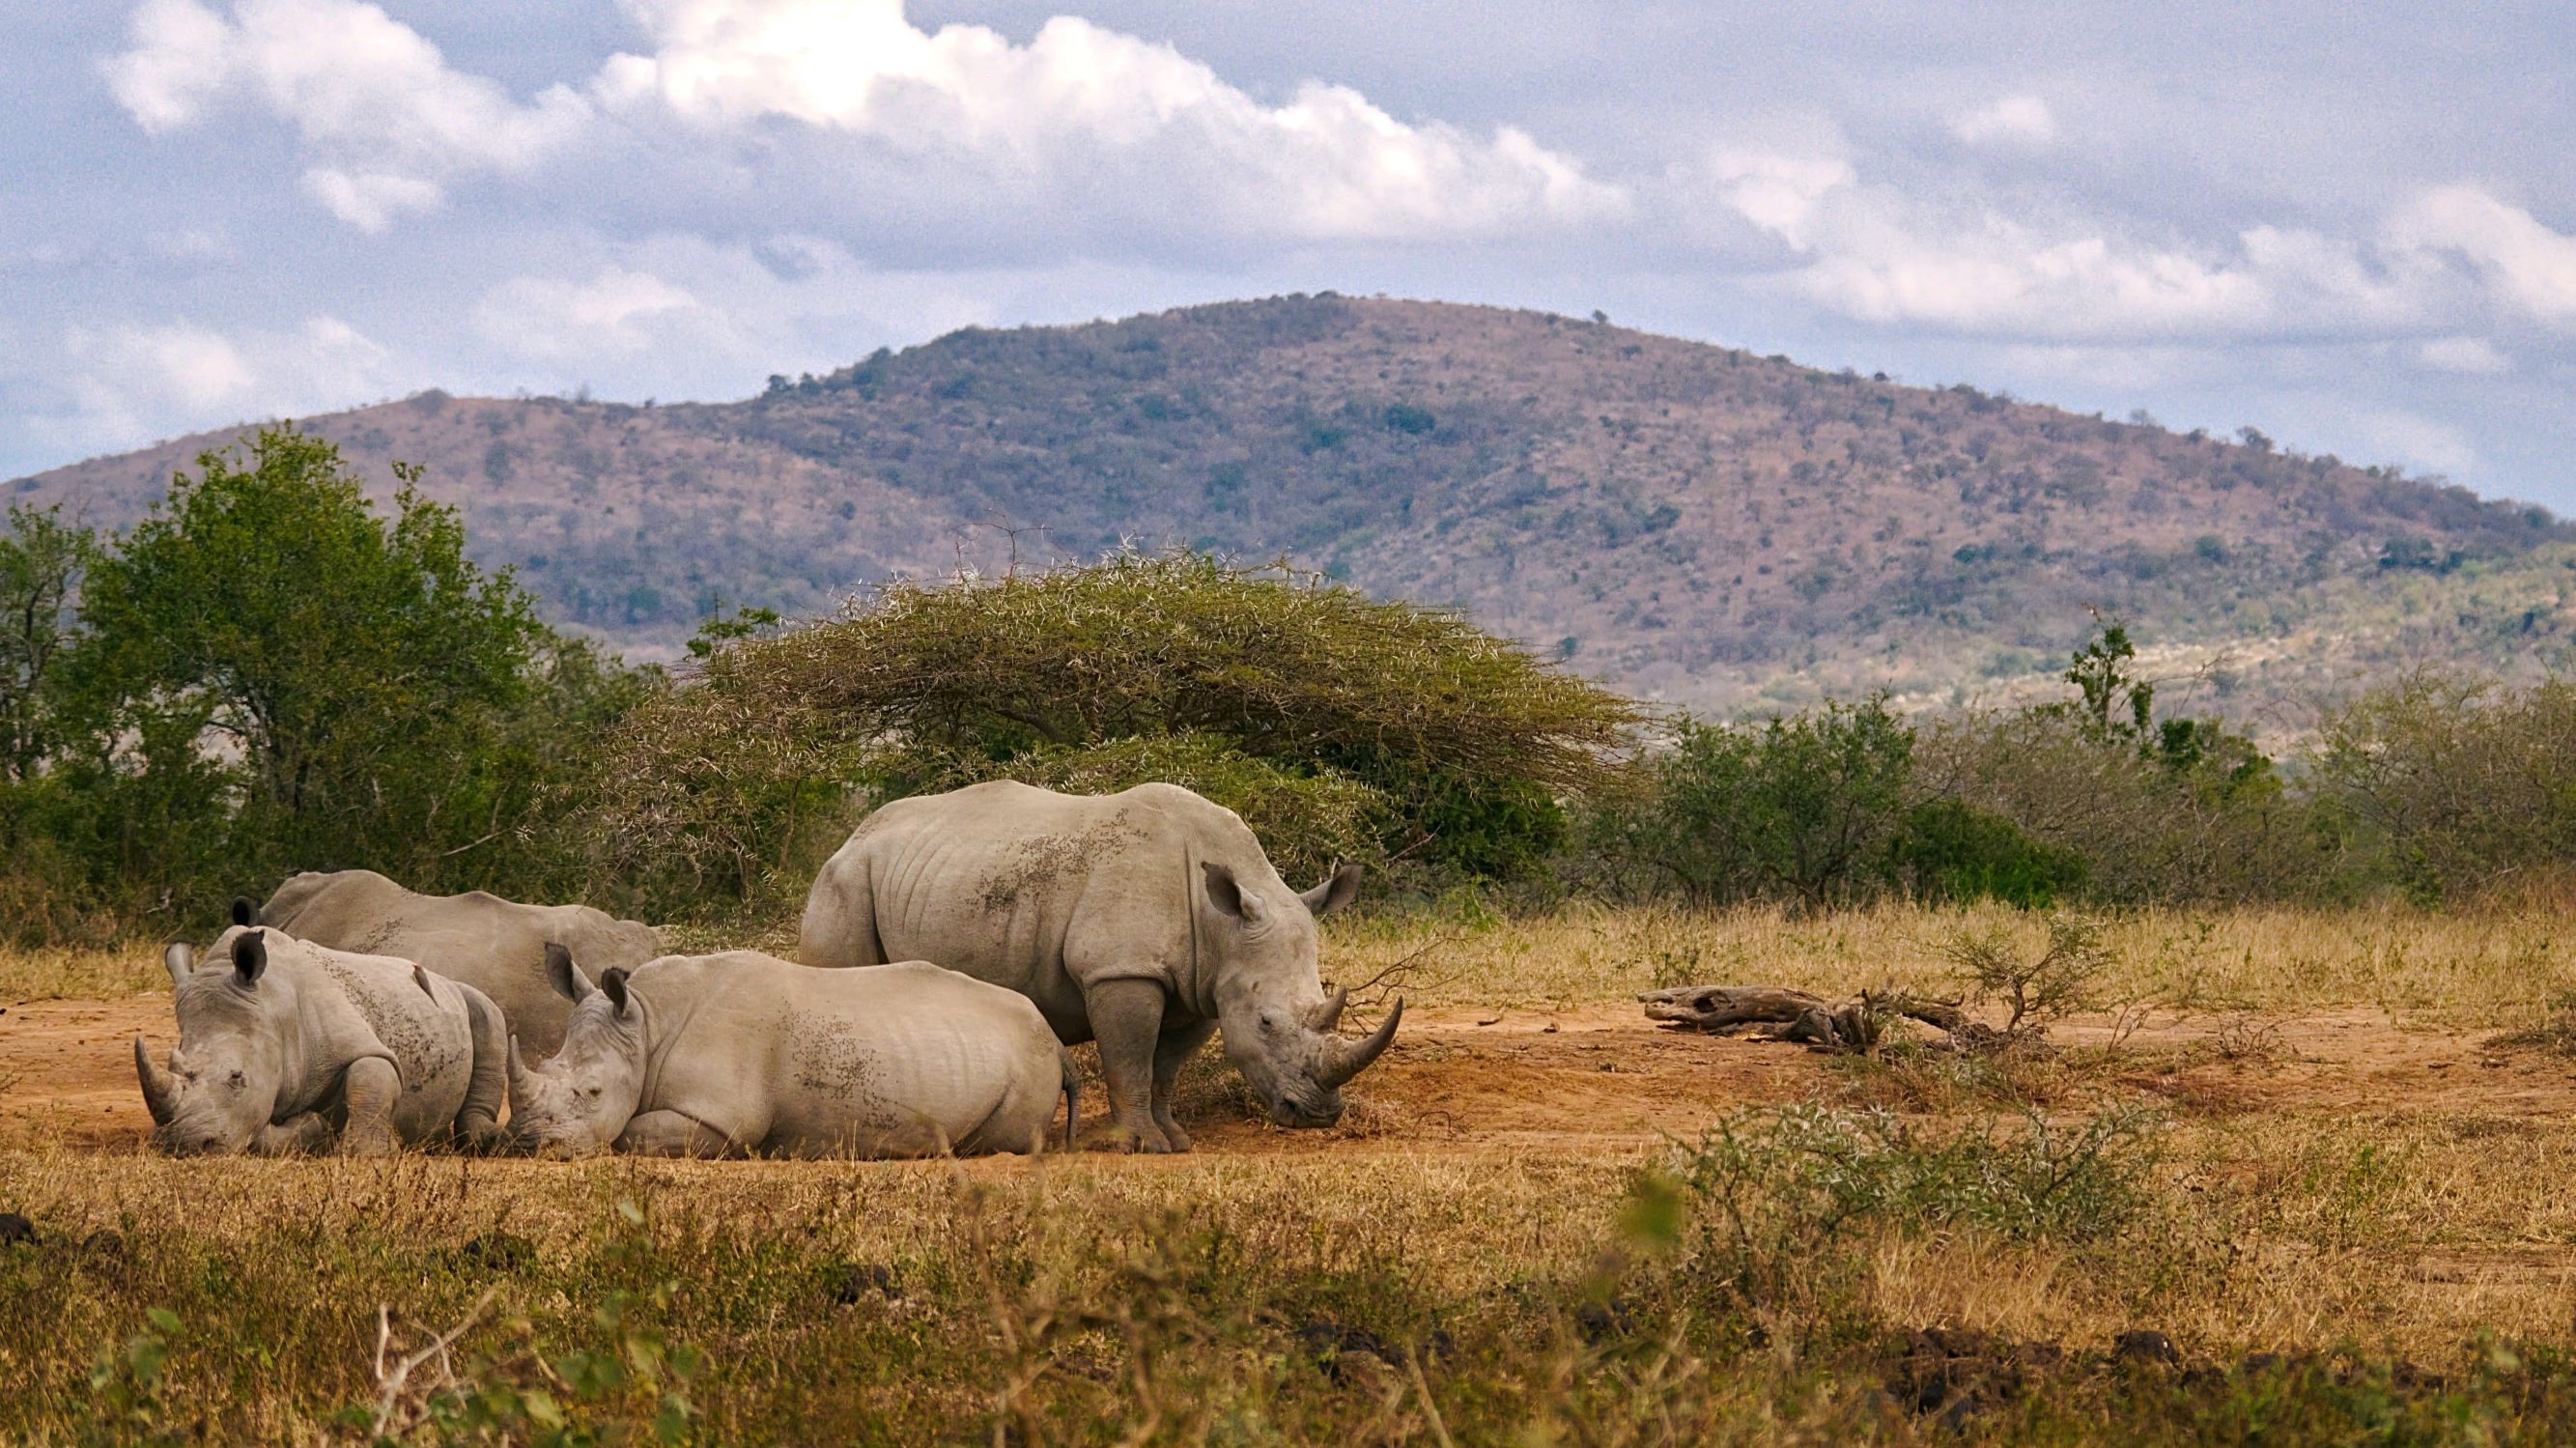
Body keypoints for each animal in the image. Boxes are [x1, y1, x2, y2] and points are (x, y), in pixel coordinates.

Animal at [134, 926, 508, 1156]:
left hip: (465, 994)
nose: (186, 1144)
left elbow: (370, 1077)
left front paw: (370, 1152)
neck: (274, 1009)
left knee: (488, 1014)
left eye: (237, 1077)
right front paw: (315, 1127)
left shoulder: (358, 1041)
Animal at [505, 947, 1075, 1159]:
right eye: (546, 1066)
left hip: (1030, 1058)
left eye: (593, 1091)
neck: (646, 1023)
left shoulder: (721, 1116)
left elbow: (630, 1133)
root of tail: (1052, 1036)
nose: (527, 1143)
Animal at [799, 781, 1398, 1153]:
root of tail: (852, 836)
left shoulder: (1204, 986)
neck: (1222, 926)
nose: (1319, 1114)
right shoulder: (1121, 969)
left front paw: (1175, 1140)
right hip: (844, 880)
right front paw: (1139, 1146)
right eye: (1267, 1023)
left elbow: (1165, 1068)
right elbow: (1129, 1058)